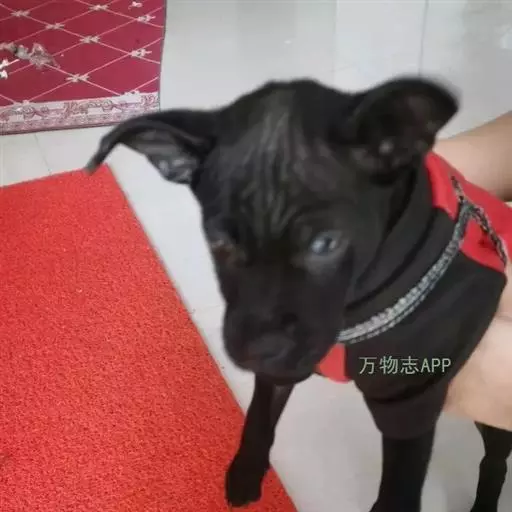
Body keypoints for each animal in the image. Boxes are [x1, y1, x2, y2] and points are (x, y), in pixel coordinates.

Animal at [85, 76, 512, 512]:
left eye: (325, 243)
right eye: (220, 240)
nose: (256, 351)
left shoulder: (409, 401)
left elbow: (397, 494)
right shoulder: (282, 366)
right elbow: (259, 417)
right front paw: (246, 471)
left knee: (496, 457)